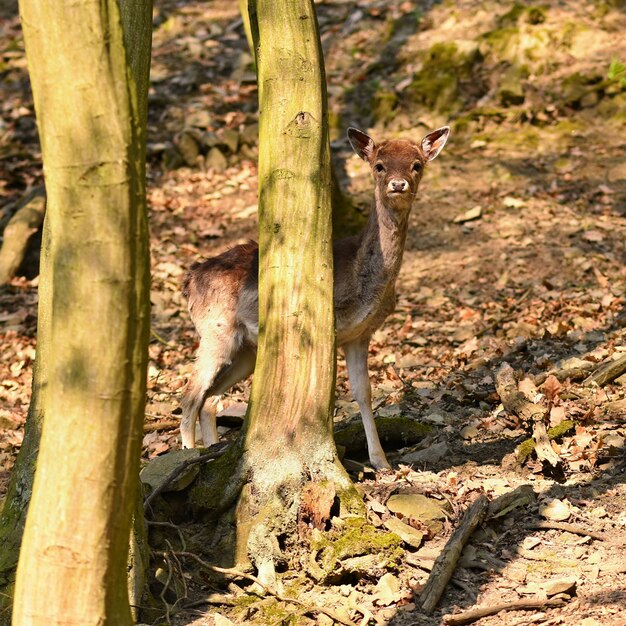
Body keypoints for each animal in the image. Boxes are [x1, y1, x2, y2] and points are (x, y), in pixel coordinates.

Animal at [178, 125, 446, 468]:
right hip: (215, 332)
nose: (398, 185)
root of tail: (190, 279)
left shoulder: (360, 335)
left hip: (246, 350)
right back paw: (187, 455)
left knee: (210, 399)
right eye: (379, 165)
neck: (365, 283)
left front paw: (381, 462)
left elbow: (364, 392)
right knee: (189, 397)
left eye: (417, 165)